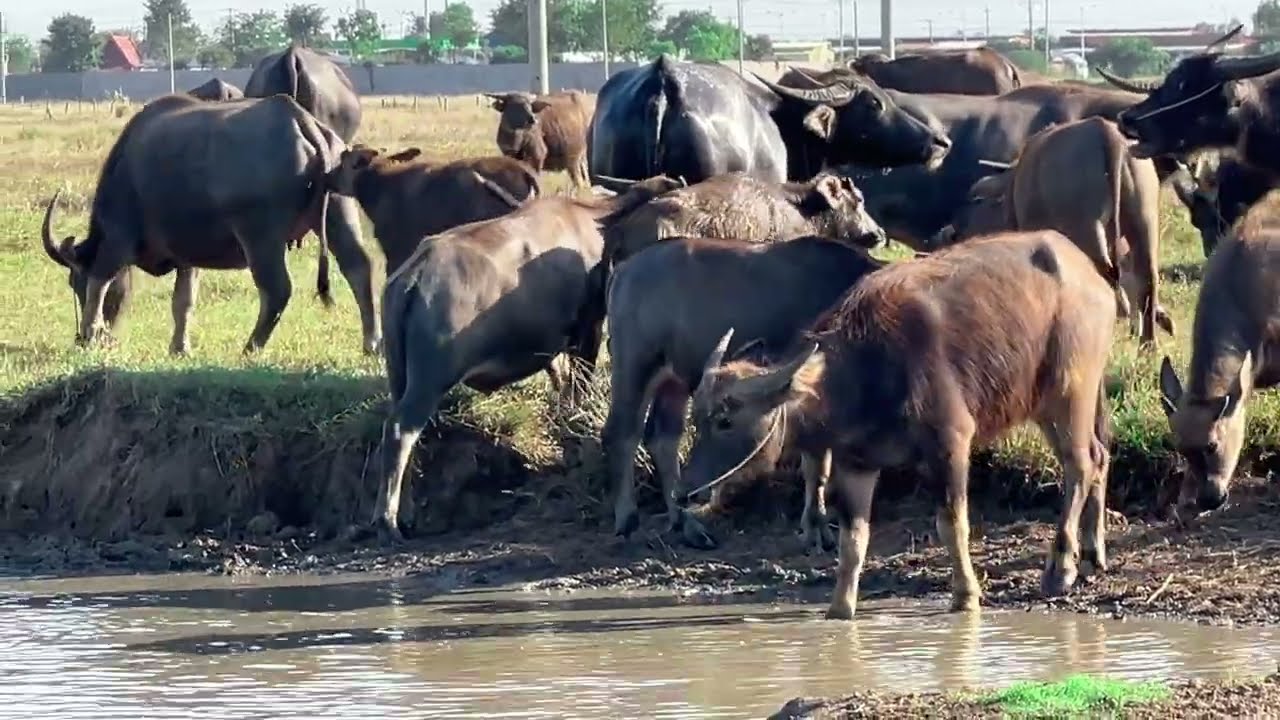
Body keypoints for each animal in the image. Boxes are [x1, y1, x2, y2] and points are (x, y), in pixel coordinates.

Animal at [39, 93, 379, 357]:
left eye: (75, 282)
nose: (79, 338)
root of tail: (301, 120)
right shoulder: (187, 256)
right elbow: (184, 300)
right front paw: (179, 348)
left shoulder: (117, 240)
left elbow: (101, 281)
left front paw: (90, 331)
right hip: (339, 212)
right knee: (358, 269)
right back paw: (371, 343)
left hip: (260, 237)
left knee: (277, 289)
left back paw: (251, 347)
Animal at [684, 230, 1117, 618]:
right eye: (697, 418)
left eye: (726, 420)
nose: (687, 492)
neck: (861, 371)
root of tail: (1092, 277)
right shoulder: (855, 463)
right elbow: (854, 540)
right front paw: (840, 609)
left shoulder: (950, 444)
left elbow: (951, 524)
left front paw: (966, 596)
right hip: (1049, 403)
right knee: (1099, 455)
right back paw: (1092, 552)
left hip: (1069, 392)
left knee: (1079, 464)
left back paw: (1061, 568)